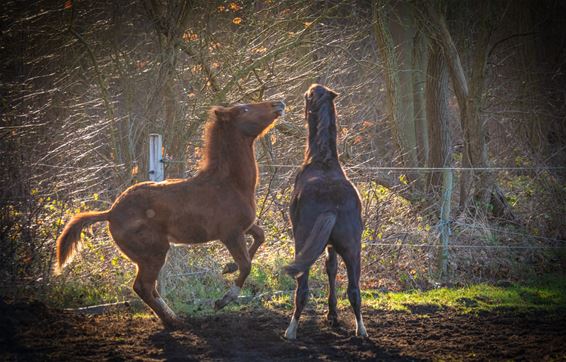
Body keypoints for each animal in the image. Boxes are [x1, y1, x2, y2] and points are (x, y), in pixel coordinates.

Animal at [55, 99, 286, 328]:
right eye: (244, 109)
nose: (279, 103)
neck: (229, 184)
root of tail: (110, 213)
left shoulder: (245, 227)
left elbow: (260, 237)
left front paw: (228, 267)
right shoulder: (231, 234)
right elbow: (246, 265)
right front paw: (222, 300)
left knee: (148, 287)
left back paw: (171, 317)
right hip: (154, 253)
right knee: (143, 286)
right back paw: (173, 320)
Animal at [284, 84, 368, 340]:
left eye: (306, 96)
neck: (322, 160)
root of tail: (332, 205)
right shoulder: (332, 246)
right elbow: (332, 271)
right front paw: (332, 316)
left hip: (302, 243)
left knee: (302, 289)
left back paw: (291, 330)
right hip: (353, 250)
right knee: (354, 290)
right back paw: (361, 330)